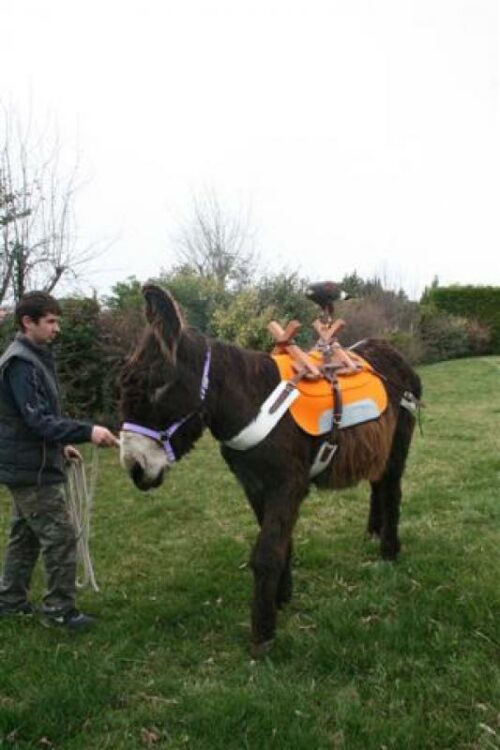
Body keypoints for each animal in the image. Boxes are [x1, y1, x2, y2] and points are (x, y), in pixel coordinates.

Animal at [118, 284, 422, 656]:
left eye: (156, 387)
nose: (134, 467)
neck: (248, 403)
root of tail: (388, 348)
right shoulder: (254, 485)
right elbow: (280, 543)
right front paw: (282, 597)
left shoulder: (287, 486)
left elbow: (265, 553)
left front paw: (262, 635)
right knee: (378, 483)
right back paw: (374, 531)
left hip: (398, 442)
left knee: (392, 488)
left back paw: (389, 551)